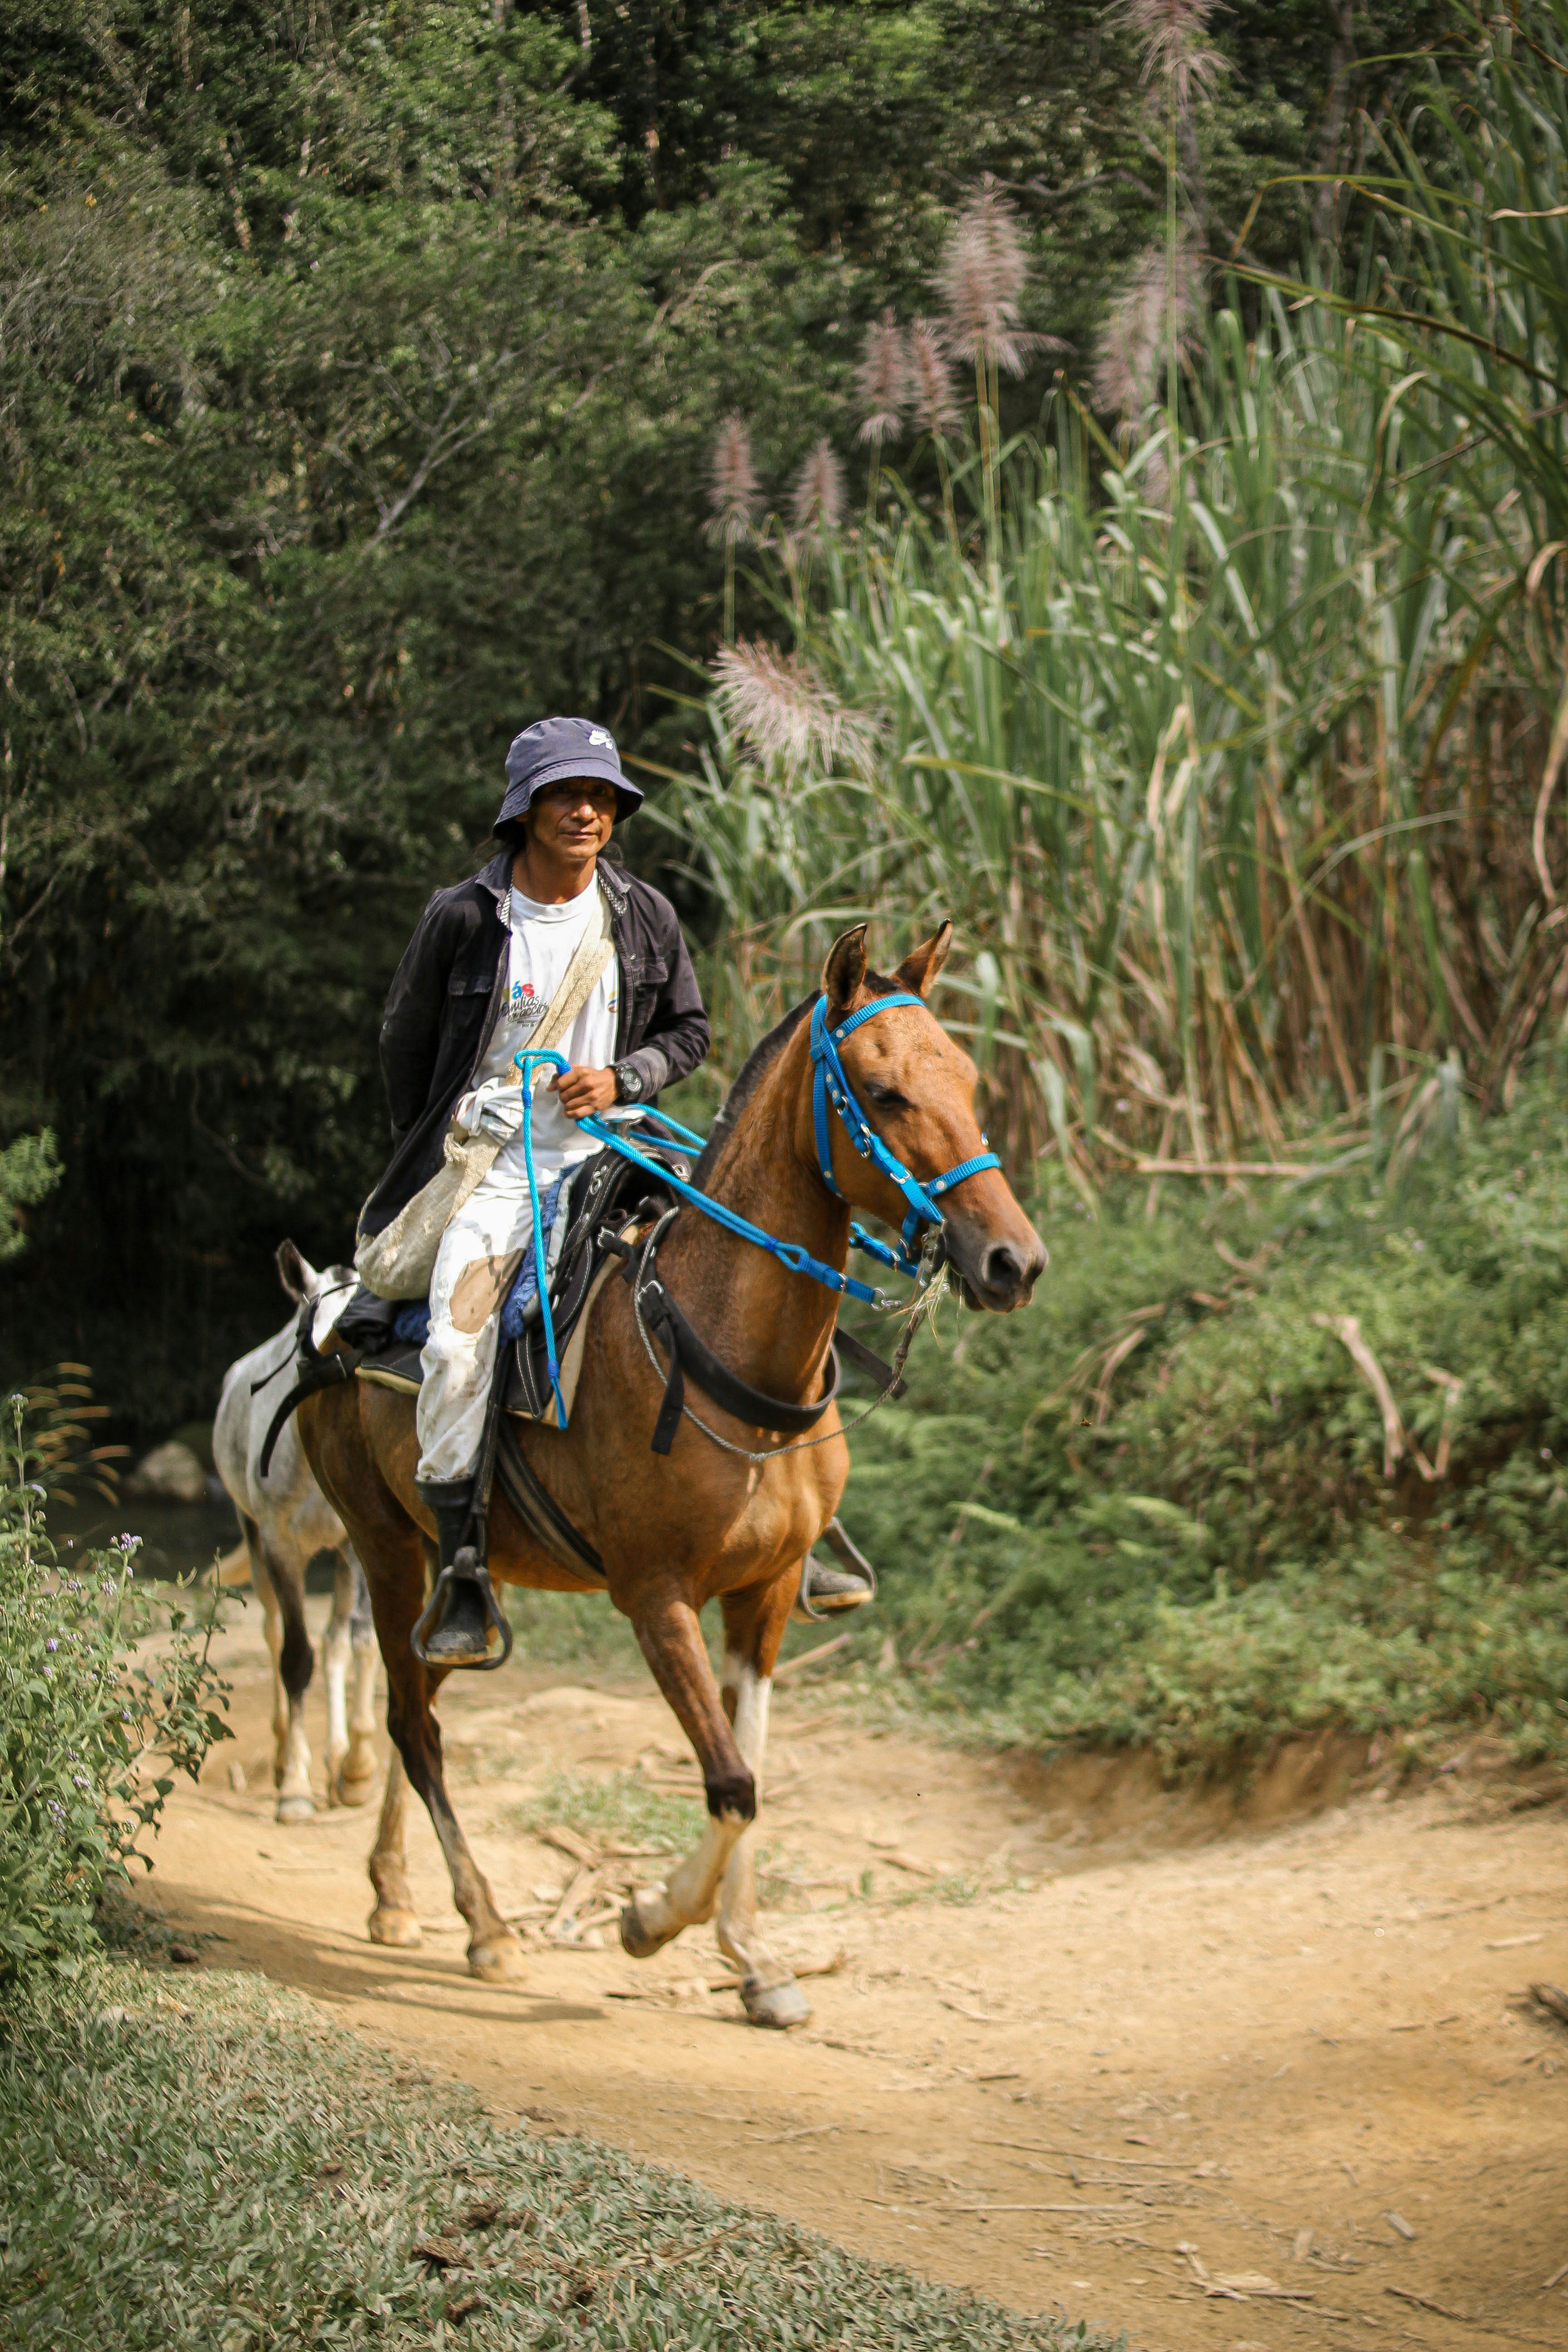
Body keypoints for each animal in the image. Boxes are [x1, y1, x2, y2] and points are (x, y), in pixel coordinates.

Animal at [215, 1244, 380, 1819]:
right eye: (311, 1339)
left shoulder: (357, 1543)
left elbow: (358, 1643)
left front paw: (356, 1770)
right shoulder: (281, 1546)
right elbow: (295, 1658)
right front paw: (295, 1791)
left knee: (334, 1643)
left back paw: (337, 1761)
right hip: (254, 1536)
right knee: (272, 1632)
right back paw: (288, 1756)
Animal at [299, 923, 1045, 2025]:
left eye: (967, 1078)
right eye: (882, 1091)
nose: (1012, 1262)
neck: (718, 1342)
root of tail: (328, 1319)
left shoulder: (766, 1594)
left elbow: (752, 1764)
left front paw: (755, 1958)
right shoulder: (656, 1598)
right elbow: (733, 1783)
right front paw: (652, 1918)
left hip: (448, 1573)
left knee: (420, 1701)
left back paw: (396, 1894)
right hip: (385, 1546)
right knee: (412, 1725)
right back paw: (484, 1924)